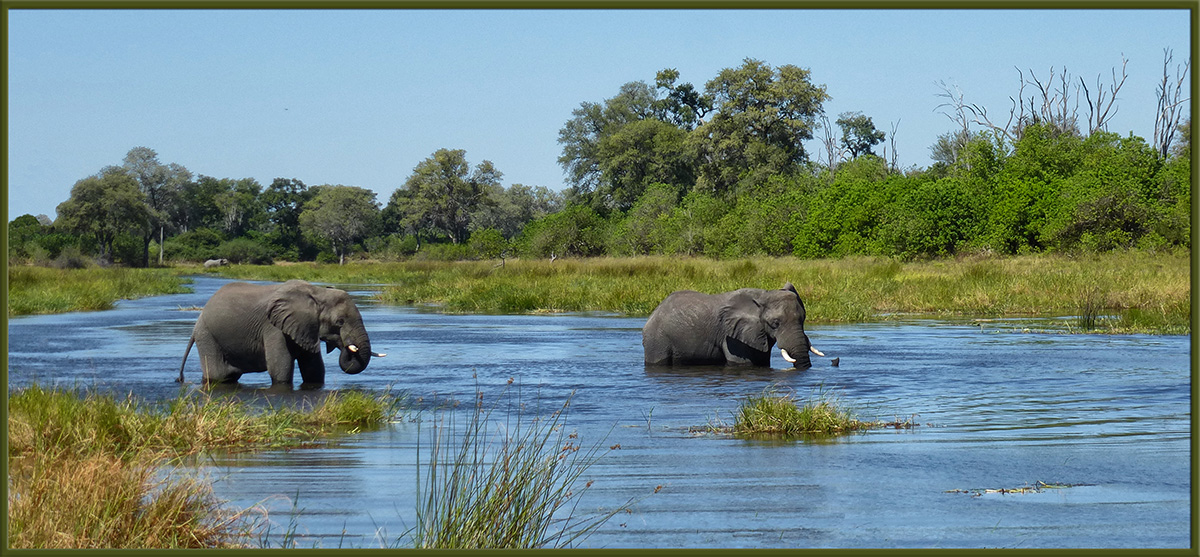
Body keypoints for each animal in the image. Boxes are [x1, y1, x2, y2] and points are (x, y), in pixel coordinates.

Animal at [178, 280, 385, 387]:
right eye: (339, 322)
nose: (347, 347)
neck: (317, 292)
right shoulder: (273, 328)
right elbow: (280, 368)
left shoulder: (304, 328)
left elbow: (314, 369)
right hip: (207, 335)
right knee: (218, 375)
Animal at [642, 282, 824, 368]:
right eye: (775, 323)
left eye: (803, 319)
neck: (762, 297)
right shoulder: (732, 337)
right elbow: (742, 363)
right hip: (657, 340)